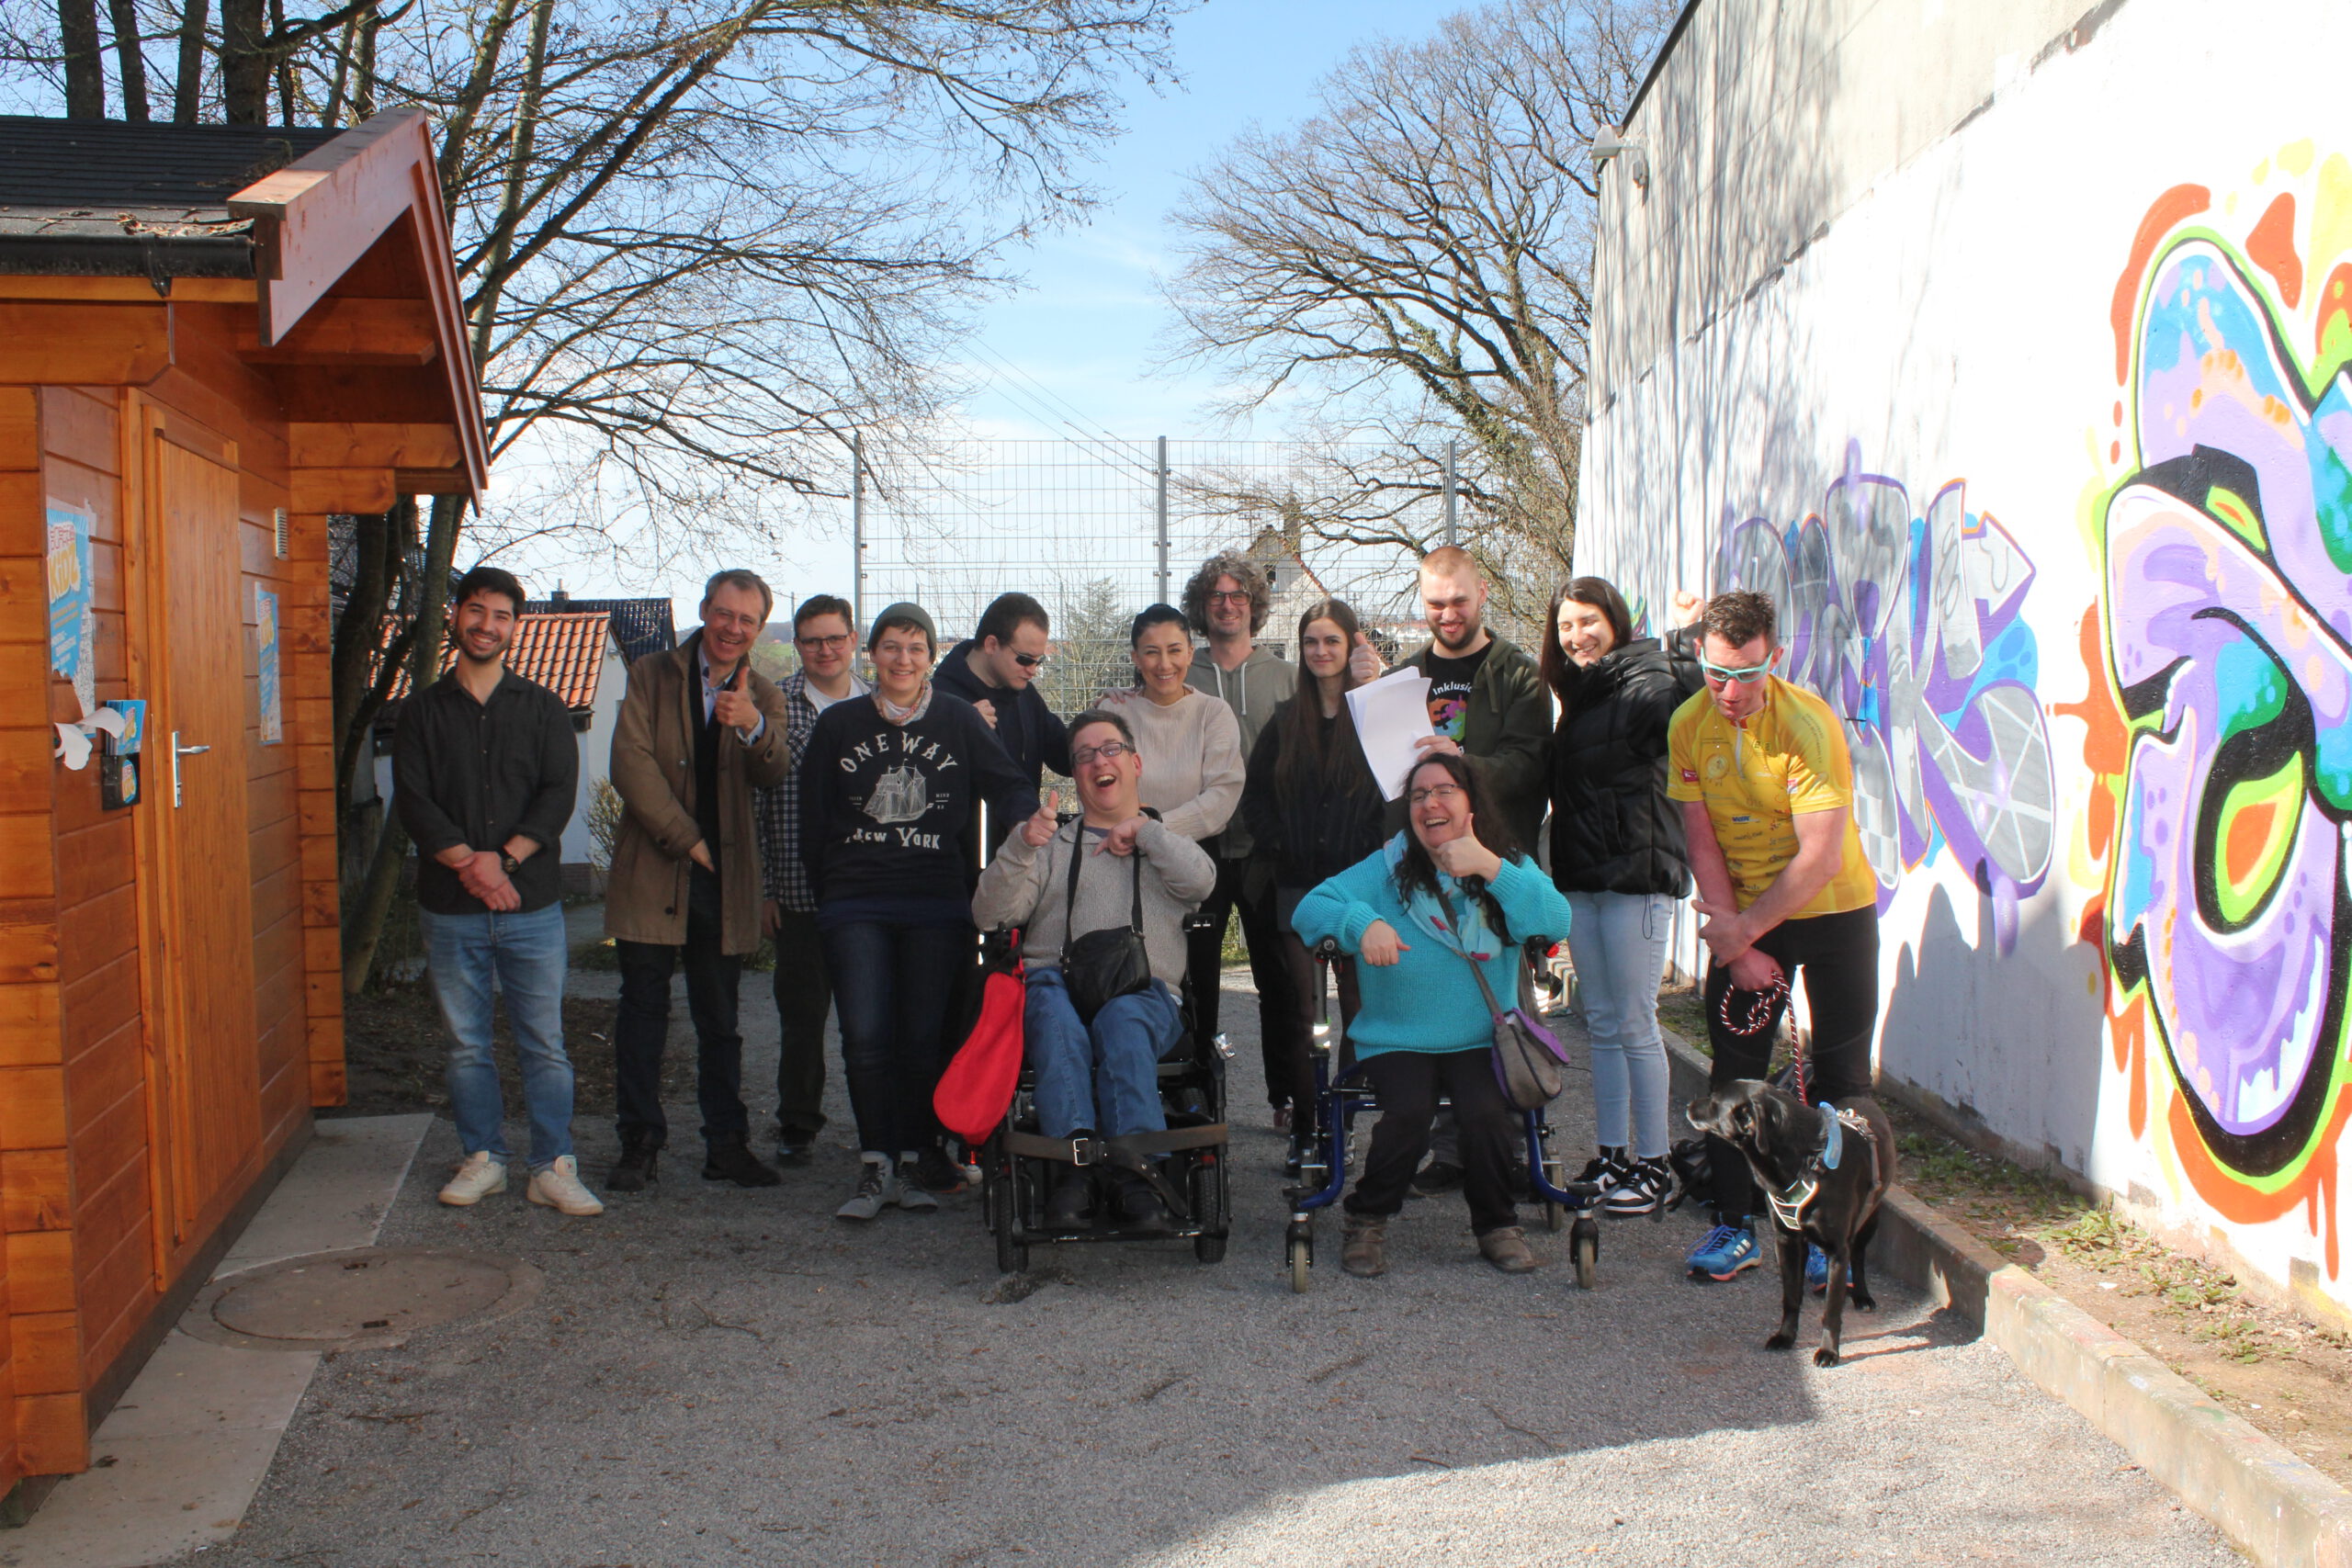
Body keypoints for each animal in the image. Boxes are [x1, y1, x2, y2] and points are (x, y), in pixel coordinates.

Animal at [1693, 1086, 1891, 1363]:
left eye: (1714, 1101)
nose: (1689, 1106)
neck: (1807, 1163)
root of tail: (1862, 1100)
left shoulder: (1838, 1251)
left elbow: (1832, 1308)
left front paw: (1829, 1351)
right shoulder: (1786, 1241)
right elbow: (1791, 1297)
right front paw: (1785, 1336)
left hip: (1870, 1218)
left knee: (1859, 1255)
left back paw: (1862, 1295)